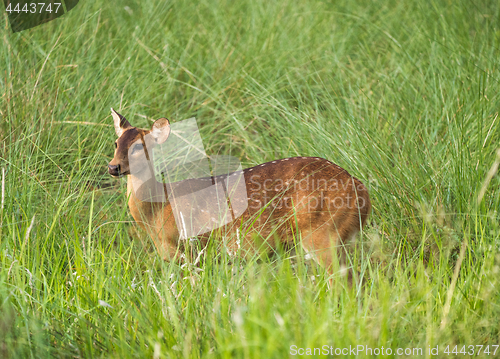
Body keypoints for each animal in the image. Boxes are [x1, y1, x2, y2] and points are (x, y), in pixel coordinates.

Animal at [106, 108, 372, 282]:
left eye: (139, 146)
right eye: (116, 143)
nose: (113, 167)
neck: (159, 211)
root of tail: (361, 191)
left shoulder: (194, 248)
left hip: (322, 232)